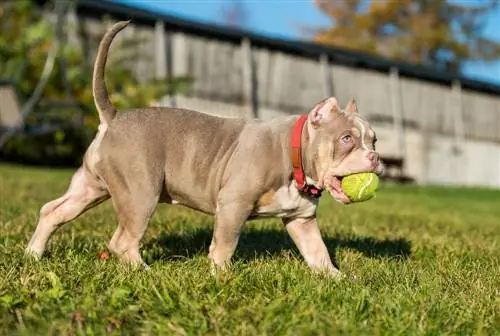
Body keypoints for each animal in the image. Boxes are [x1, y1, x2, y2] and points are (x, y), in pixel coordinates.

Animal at [25, 21, 384, 278]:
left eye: (374, 139)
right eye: (347, 139)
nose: (375, 157)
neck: (294, 154)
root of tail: (113, 118)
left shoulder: (302, 220)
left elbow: (317, 251)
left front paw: (336, 278)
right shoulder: (234, 205)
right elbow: (225, 244)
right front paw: (222, 275)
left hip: (91, 187)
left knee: (54, 211)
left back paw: (33, 254)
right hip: (140, 193)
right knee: (123, 239)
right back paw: (144, 272)